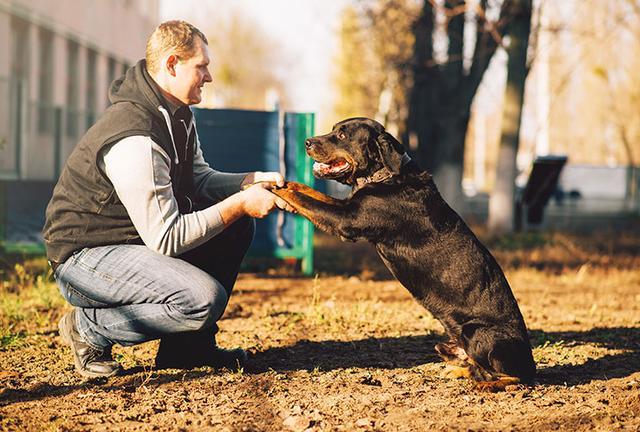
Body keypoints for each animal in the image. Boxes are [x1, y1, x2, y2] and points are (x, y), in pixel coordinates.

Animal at [272, 118, 536, 392]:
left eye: (342, 135)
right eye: (333, 129)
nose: (307, 142)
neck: (385, 176)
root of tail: (529, 362)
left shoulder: (345, 220)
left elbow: (307, 200)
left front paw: (270, 186)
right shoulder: (348, 208)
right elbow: (308, 193)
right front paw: (283, 182)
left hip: (477, 333)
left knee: (514, 377)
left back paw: (486, 384)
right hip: (446, 344)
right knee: (478, 367)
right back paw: (459, 372)